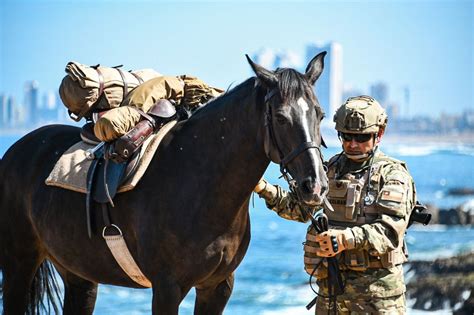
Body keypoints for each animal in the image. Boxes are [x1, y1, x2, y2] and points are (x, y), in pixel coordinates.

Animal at [0, 53, 328, 314]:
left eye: (320, 114)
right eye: (282, 118)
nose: (315, 185)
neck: (199, 182)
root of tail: (14, 151)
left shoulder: (218, 287)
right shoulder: (167, 289)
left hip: (78, 273)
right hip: (19, 264)